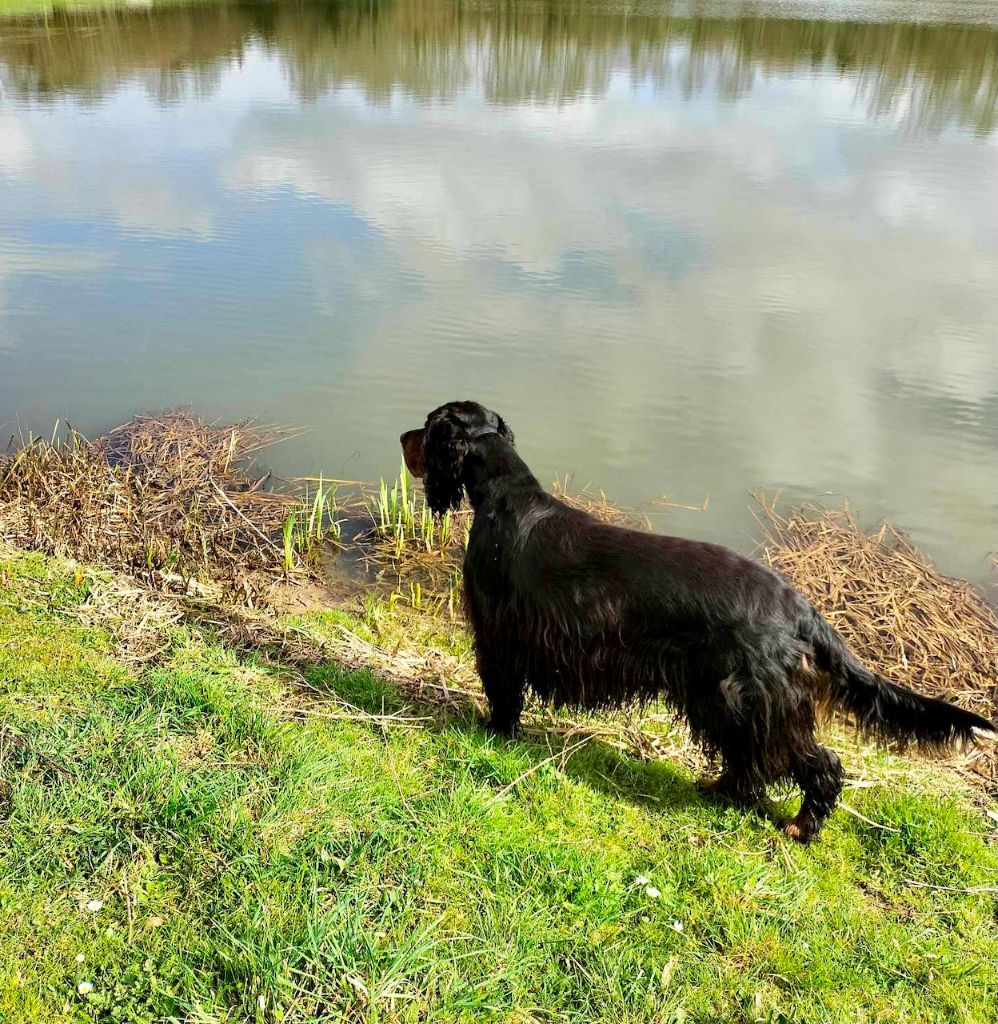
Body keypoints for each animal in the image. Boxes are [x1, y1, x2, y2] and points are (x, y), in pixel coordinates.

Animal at [401, 399, 994, 839]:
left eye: (428, 428)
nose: (404, 435)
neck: (506, 494)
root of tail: (799, 606)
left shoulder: (497, 631)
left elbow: (503, 691)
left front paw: (493, 732)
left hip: (747, 699)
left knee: (818, 764)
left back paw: (800, 827)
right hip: (723, 700)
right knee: (749, 762)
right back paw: (722, 790)